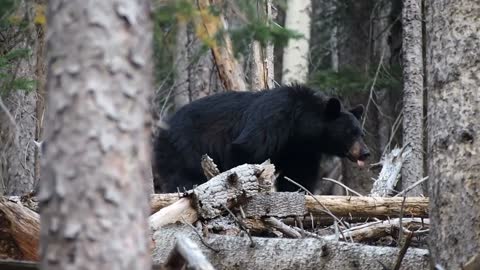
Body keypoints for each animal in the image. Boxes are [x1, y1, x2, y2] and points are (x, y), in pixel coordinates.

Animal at [152, 84, 370, 192]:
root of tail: (162, 128)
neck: (300, 125)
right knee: (184, 175)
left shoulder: (302, 150)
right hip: (184, 147)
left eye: (361, 133)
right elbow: (245, 149)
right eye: (350, 132)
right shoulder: (274, 118)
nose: (366, 152)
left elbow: (299, 175)